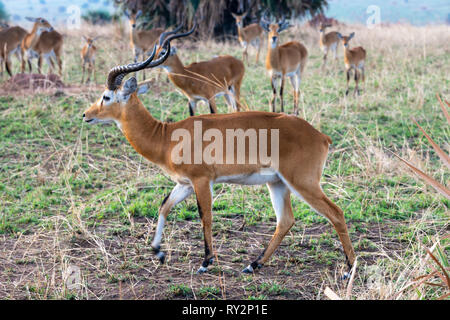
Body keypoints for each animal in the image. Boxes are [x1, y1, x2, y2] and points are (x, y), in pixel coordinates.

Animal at [81, 29, 356, 276]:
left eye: (106, 96)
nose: (86, 114)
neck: (166, 136)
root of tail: (321, 136)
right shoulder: (184, 183)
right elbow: (164, 206)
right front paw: (158, 252)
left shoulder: (202, 180)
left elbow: (206, 216)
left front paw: (206, 262)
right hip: (278, 183)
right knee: (286, 220)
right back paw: (253, 264)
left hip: (303, 183)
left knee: (336, 213)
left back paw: (349, 269)